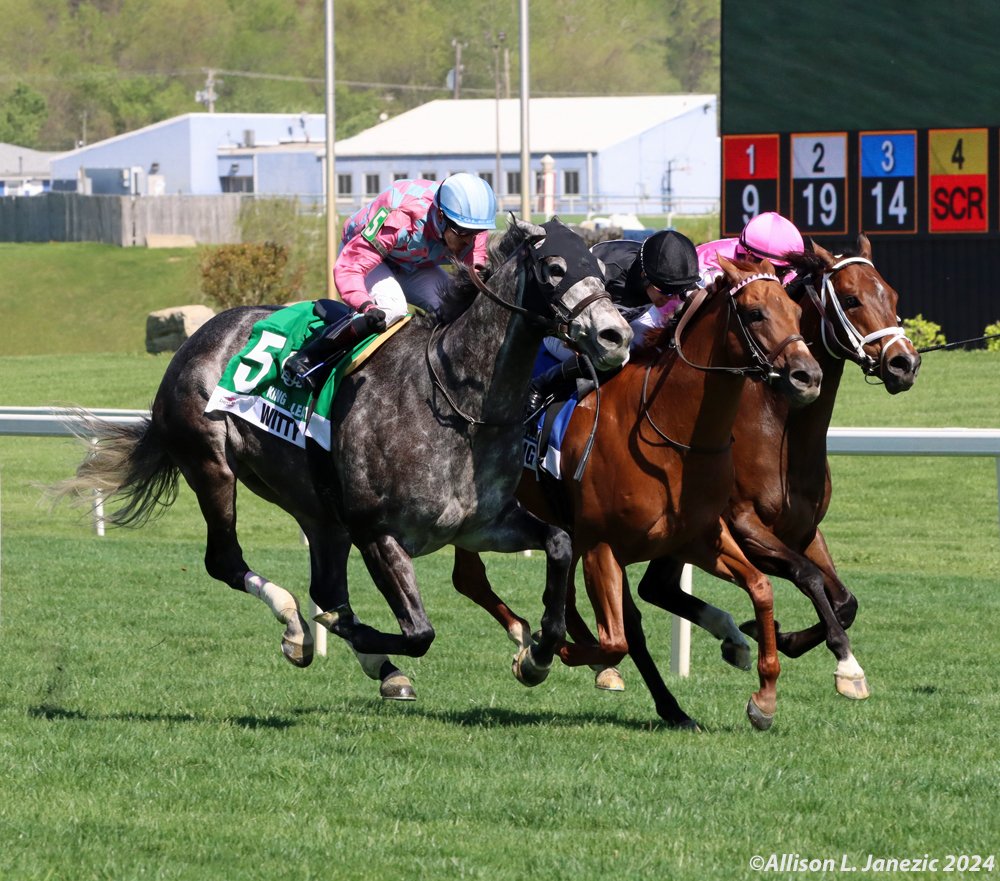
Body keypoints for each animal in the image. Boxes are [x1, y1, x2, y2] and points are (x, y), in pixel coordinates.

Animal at [58, 218, 632, 700]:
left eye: (600, 269)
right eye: (555, 268)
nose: (616, 336)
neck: (457, 404)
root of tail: (198, 337)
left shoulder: (481, 525)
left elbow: (558, 543)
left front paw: (536, 655)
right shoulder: (377, 532)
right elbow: (418, 631)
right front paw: (338, 630)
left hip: (318, 511)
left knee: (325, 584)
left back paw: (373, 663)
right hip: (211, 464)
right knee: (228, 561)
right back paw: (297, 625)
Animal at [452, 256, 820, 728]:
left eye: (795, 312)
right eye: (755, 313)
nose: (808, 377)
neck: (669, 432)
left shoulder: (697, 537)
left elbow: (761, 588)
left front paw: (764, 696)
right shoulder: (602, 547)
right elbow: (618, 640)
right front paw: (537, 658)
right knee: (470, 579)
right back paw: (527, 638)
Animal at [624, 234, 920, 700]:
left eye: (892, 296)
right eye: (851, 299)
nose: (904, 363)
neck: (780, 431)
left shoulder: (804, 530)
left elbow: (845, 600)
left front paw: (784, 637)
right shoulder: (744, 527)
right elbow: (808, 577)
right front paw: (845, 665)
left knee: (656, 587)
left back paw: (732, 637)